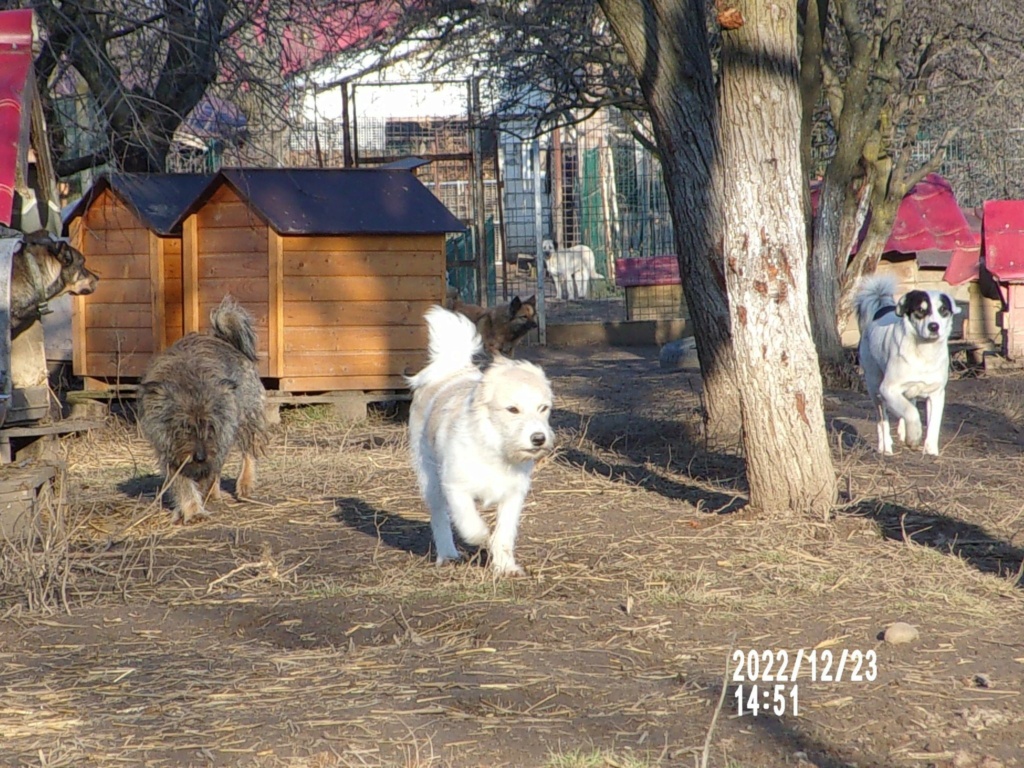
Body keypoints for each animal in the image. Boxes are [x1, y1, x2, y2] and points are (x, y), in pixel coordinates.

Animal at [138, 294, 270, 524]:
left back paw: (244, 483)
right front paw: (193, 509)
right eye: (183, 427)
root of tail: (223, 338)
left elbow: (209, 471)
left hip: (247, 415)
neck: (189, 380)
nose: (199, 457)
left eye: (210, 426)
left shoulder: (219, 439)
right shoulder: (171, 451)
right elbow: (183, 483)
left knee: (248, 450)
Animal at [405, 303, 557, 573]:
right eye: (512, 410)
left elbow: (505, 533)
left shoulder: (514, 495)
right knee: (439, 516)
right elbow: (470, 523)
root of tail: (451, 368)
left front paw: (505, 566)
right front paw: (481, 537)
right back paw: (447, 554)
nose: (538, 438)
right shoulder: (455, 487)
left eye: (543, 408)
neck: (495, 447)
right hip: (429, 478)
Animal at [856, 274, 958, 456]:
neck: (924, 353)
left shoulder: (936, 394)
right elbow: (911, 412)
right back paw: (885, 446)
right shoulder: (889, 389)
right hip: (874, 385)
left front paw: (931, 450)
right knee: (882, 418)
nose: (934, 326)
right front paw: (914, 437)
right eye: (920, 311)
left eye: (943, 310)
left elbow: (933, 424)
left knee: (908, 403)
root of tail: (881, 309)